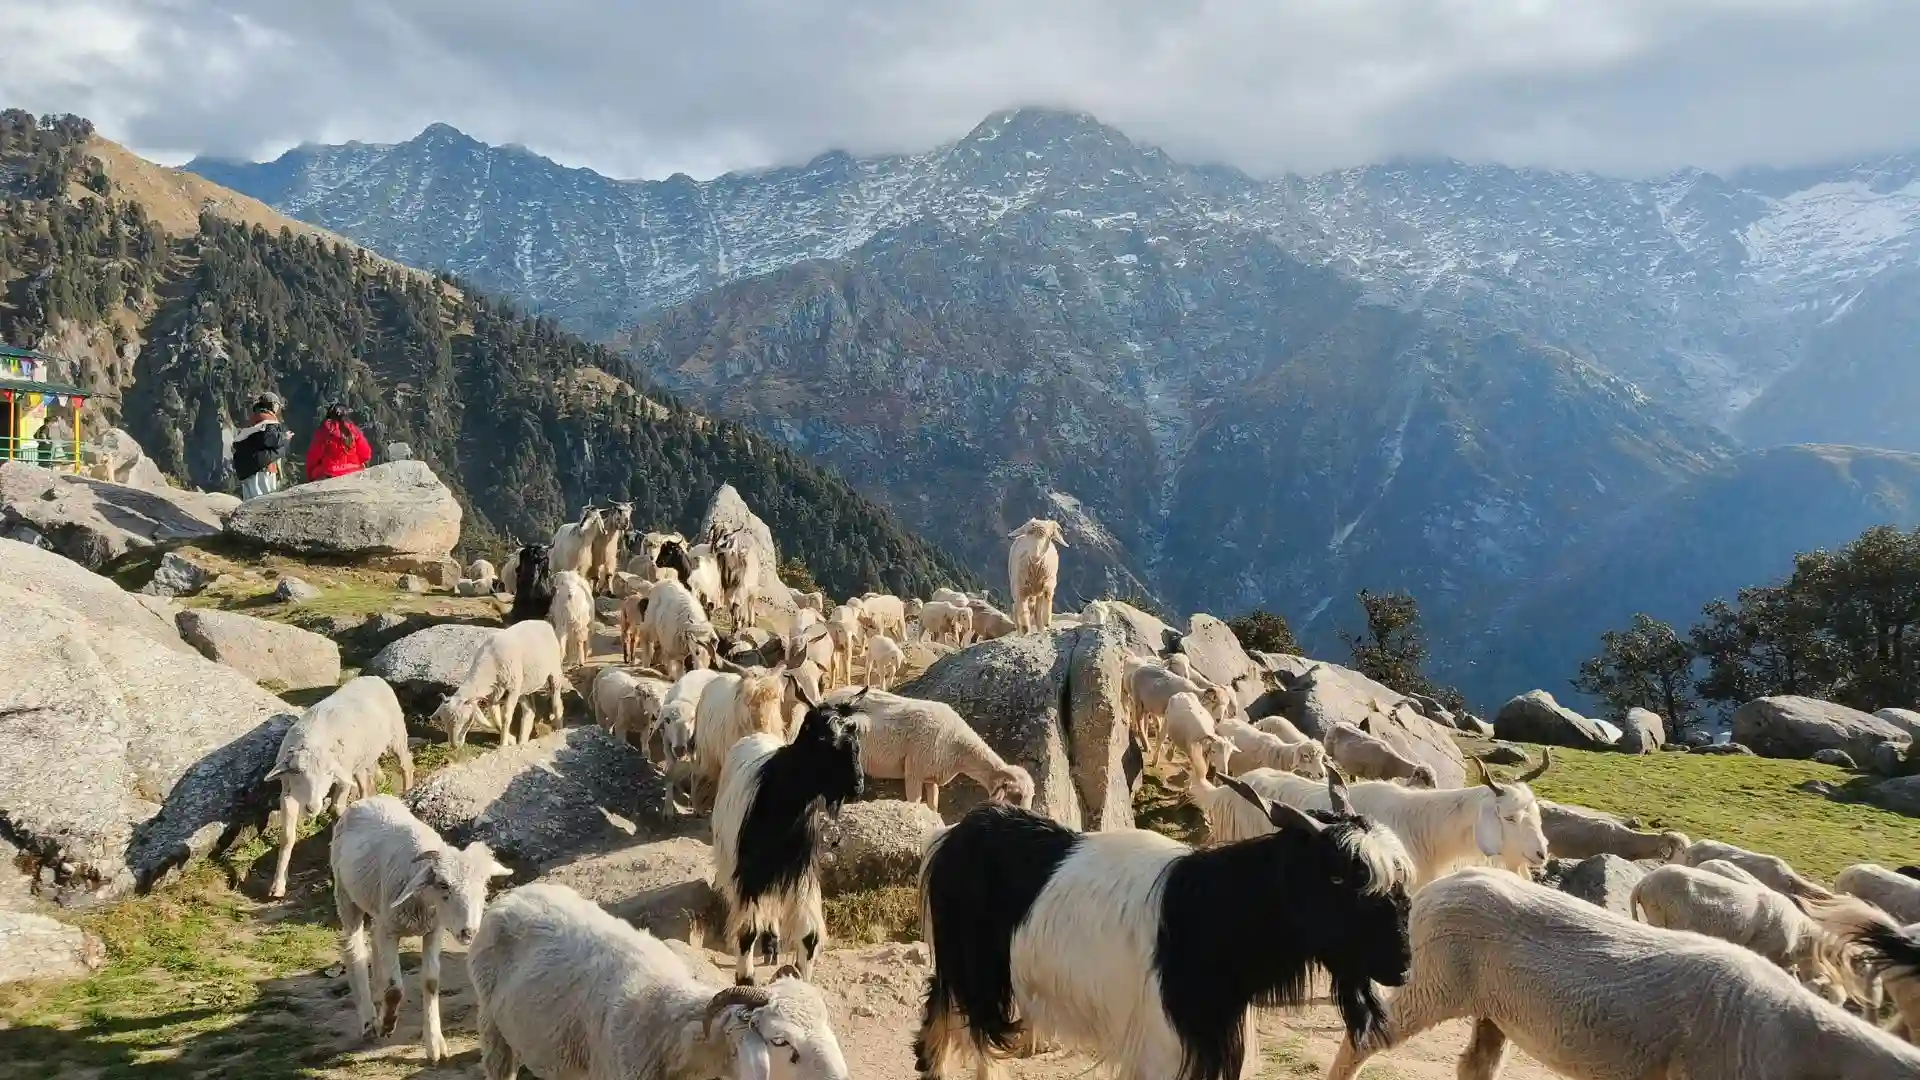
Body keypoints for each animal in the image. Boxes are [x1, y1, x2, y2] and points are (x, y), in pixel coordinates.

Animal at [711, 684, 867, 983]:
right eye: (822, 737)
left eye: (854, 734)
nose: (857, 785)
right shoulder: (749, 873)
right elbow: (747, 931)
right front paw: (745, 978)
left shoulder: (800, 871)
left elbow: (809, 935)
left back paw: (772, 943)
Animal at [915, 769, 1414, 1080]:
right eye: (1339, 878)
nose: (1403, 967)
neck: (1210, 912)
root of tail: (955, 834)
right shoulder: (1164, 1044)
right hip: (975, 970)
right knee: (970, 1030)